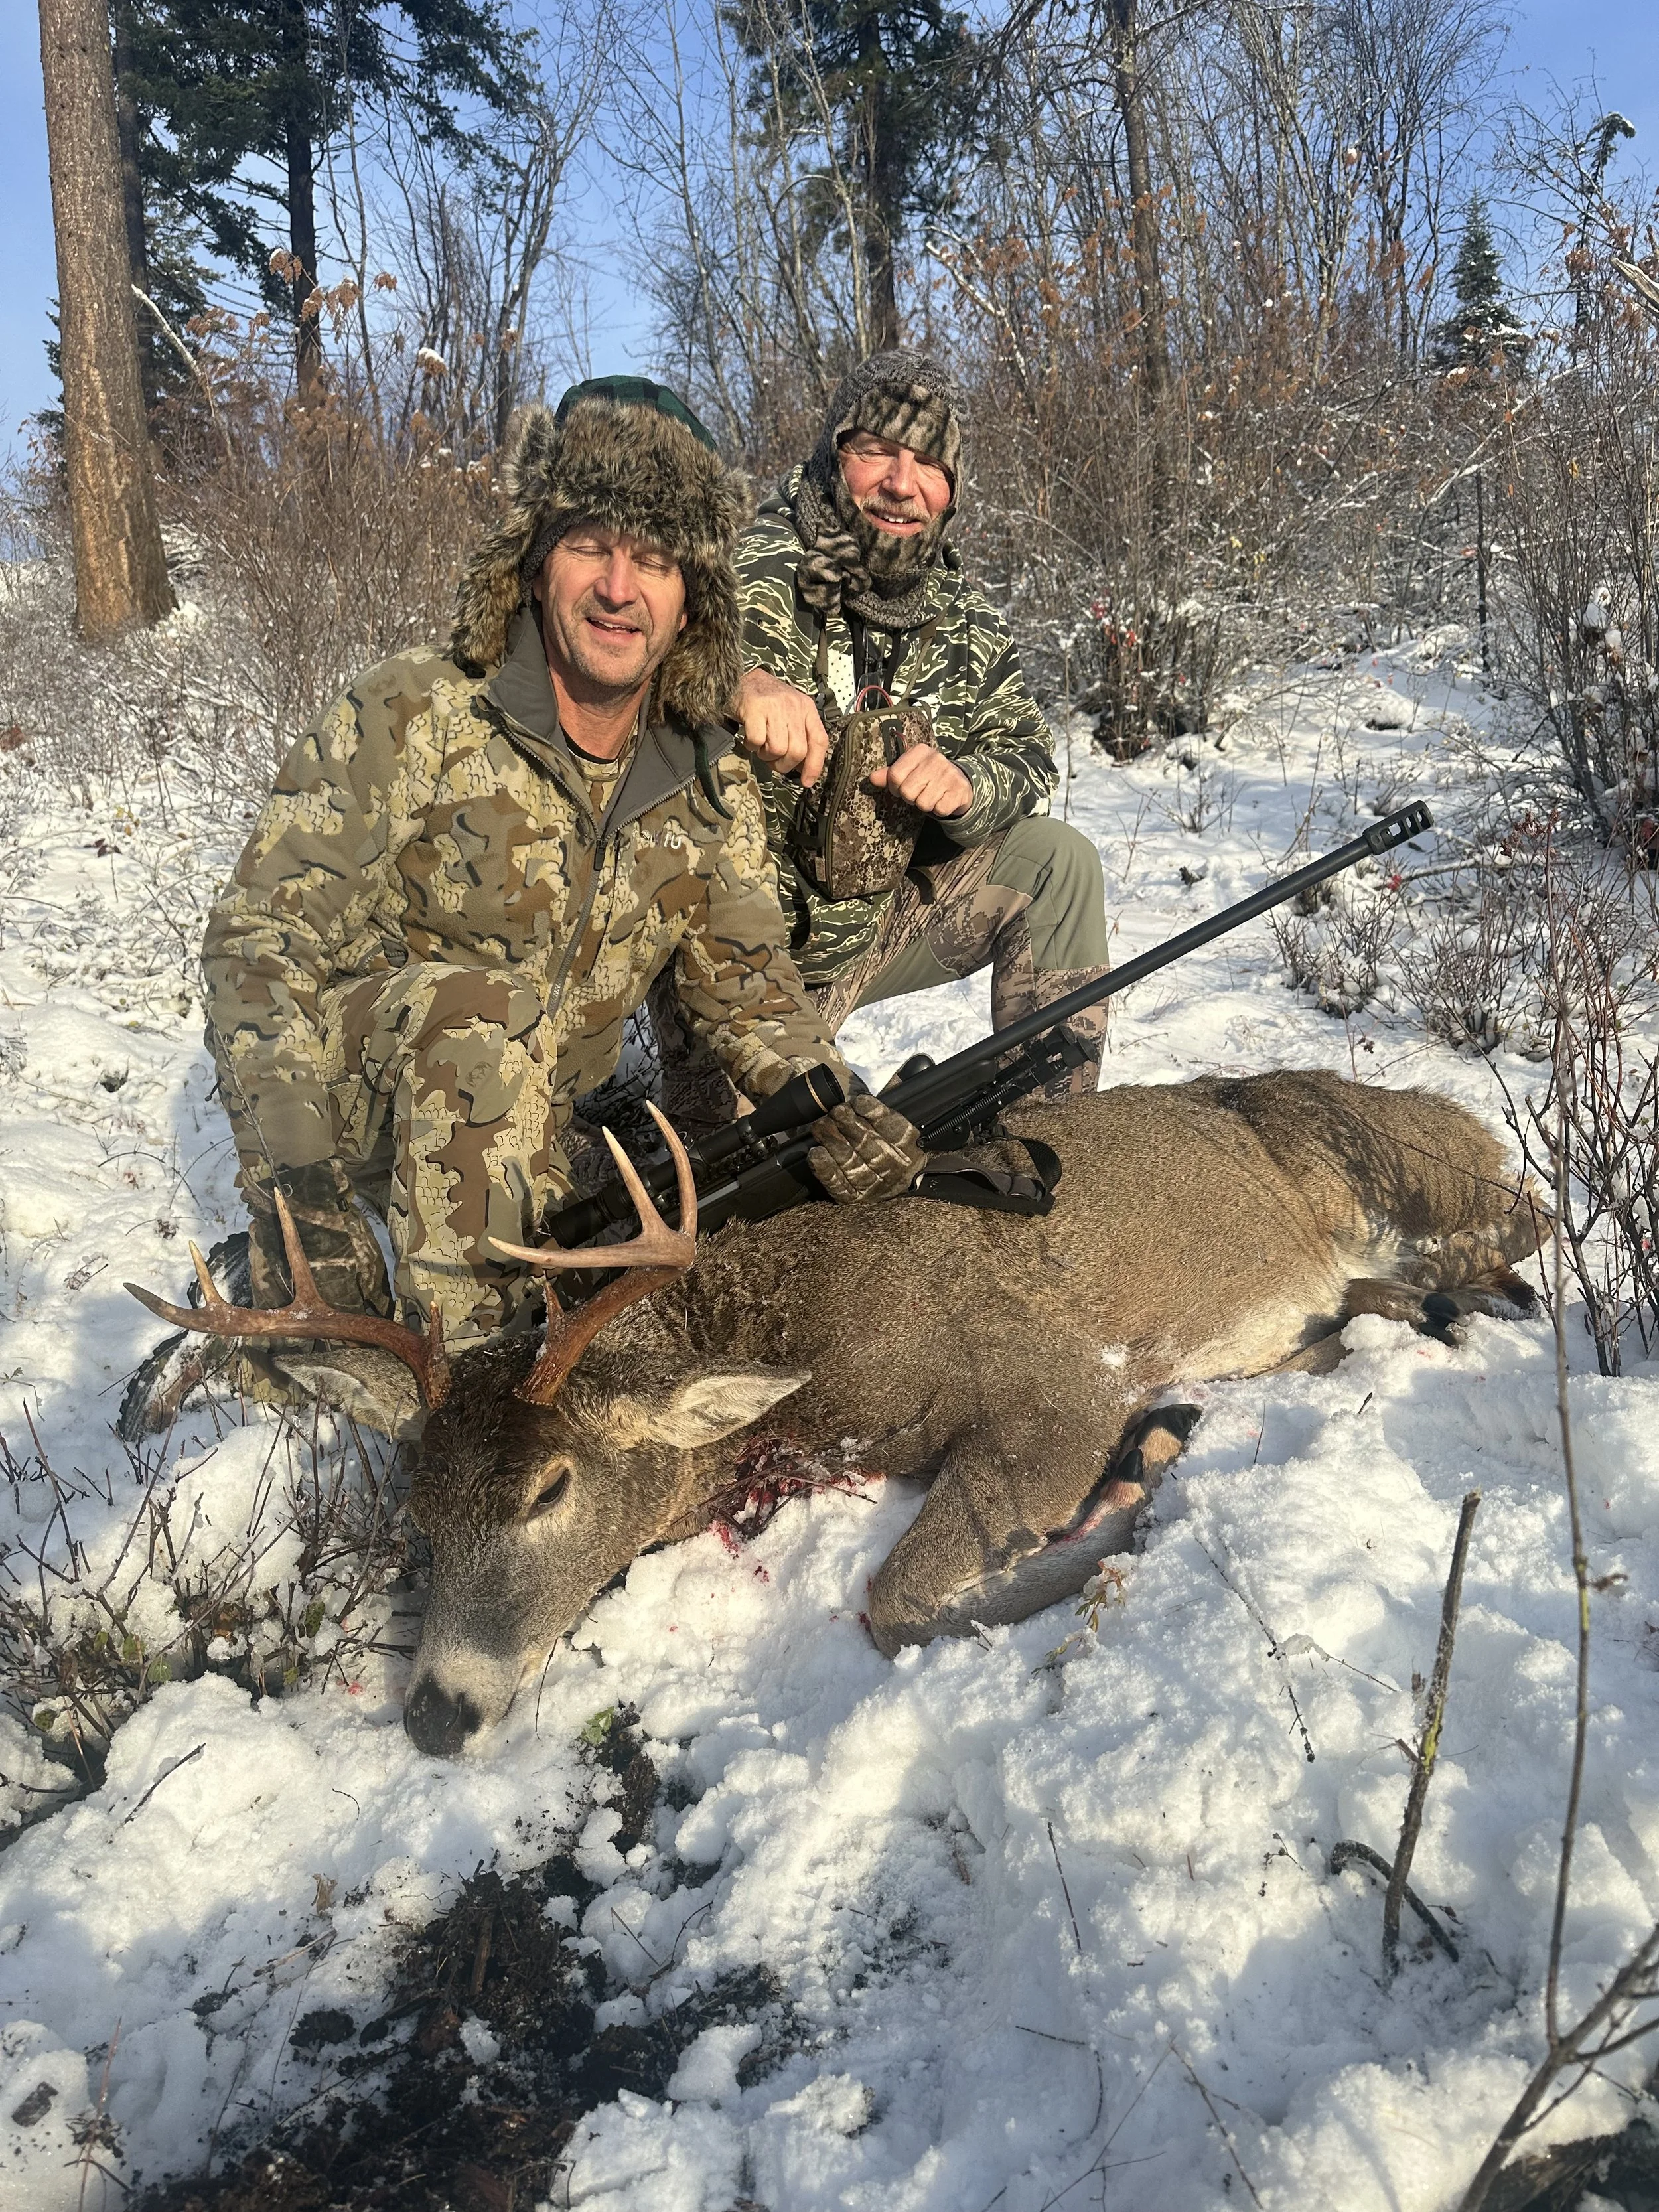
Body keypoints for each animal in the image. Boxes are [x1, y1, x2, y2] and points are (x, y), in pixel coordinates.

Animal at [128, 1069, 1544, 1757]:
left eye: (550, 1489)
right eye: (418, 1512)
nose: (437, 1713)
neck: (797, 1356)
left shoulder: (1056, 1376)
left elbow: (894, 1600)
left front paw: (1130, 1508)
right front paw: (1144, 1470)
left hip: (1403, 1147)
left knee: (1516, 1207)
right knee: (1363, 1307)